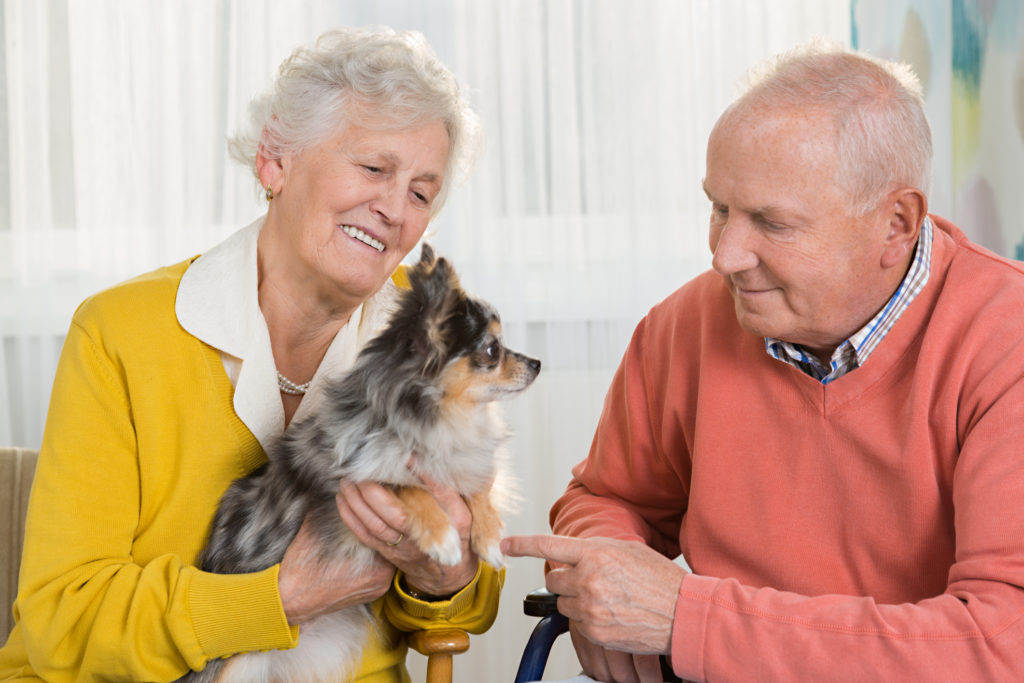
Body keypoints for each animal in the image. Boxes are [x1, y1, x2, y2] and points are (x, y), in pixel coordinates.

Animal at [179, 245, 540, 683]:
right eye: (491, 350)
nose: (537, 363)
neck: (438, 418)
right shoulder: (347, 485)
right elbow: (407, 487)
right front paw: (442, 538)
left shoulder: (460, 463)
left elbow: (474, 489)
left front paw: (488, 537)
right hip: (236, 667)